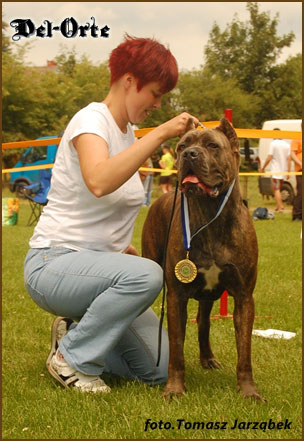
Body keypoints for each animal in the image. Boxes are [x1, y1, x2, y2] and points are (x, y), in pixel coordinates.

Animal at [141, 118, 262, 400]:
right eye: (182, 146)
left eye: (212, 145)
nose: (189, 154)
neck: (210, 216)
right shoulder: (176, 296)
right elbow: (176, 349)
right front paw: (175, 389)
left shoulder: (243, 297)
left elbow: (245, 351)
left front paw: (248, 390)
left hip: (209, 296)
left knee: (204, 323)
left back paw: (208, 359)